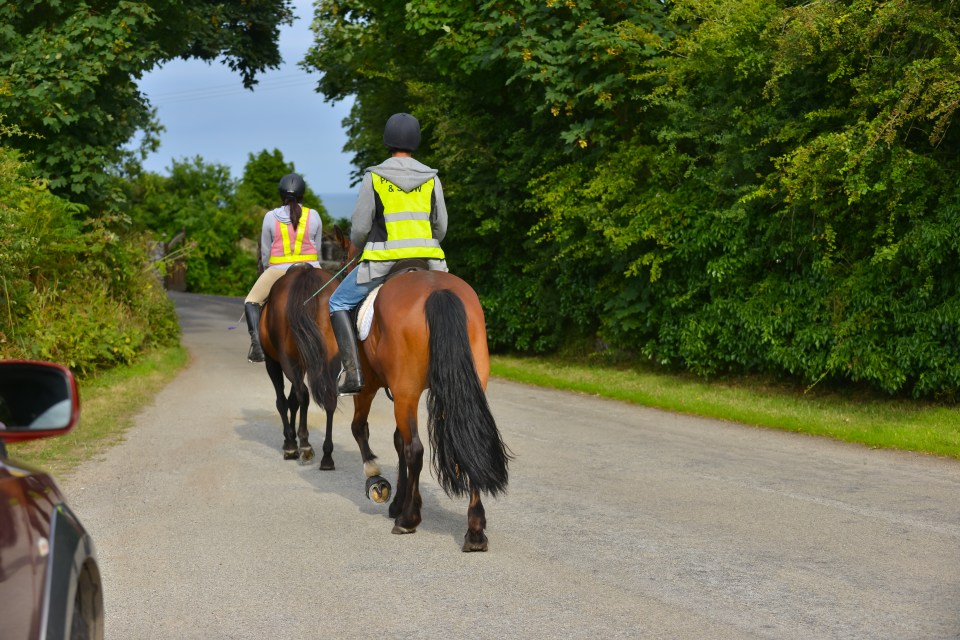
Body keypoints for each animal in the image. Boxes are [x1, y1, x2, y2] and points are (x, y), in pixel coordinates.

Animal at [258, 262, 342, 468]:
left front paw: (290, 443)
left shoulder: (273, 363)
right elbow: (292, 401)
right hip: (331, 358)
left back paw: (303, 446)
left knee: (302, 394)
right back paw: (327, 457)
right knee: (329, 398)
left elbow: (283, 401)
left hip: (287, 360)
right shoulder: (304, 363)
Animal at [334, 229, 510, 552]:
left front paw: (377, 482)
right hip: (460, 388)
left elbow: (362, 429)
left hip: (404, 392)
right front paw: (397, 501)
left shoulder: (373, 386)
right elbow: (396, 441)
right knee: (469, 442)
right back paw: (475, 531)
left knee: (414, 448)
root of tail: (436, 291)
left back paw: (408, 520)